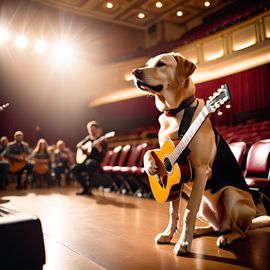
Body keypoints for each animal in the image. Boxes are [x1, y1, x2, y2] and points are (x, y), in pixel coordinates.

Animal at [132, 52, 270, 255]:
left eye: (161, 64)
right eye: (147, 63)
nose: (135, 71)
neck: (176, 112)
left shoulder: (200, 170)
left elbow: (188, 212)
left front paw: (183, 243)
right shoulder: (176, 182)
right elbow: (173, 210)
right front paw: (169, 234)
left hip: (231, 195)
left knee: (240, 231)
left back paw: (227, 237)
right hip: (205, 204)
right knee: (216, 226)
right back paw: (200, 230)